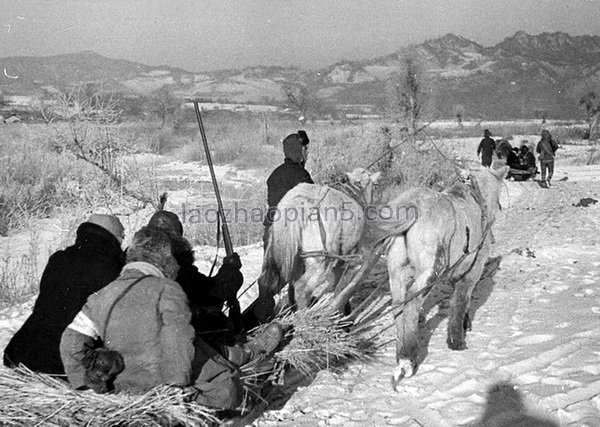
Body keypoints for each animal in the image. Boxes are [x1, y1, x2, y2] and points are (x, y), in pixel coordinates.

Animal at [258, 168, 380, 314]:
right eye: (375, 185)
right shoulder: (347, 253)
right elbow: (340, 281)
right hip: (320, 261)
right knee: (302, 288)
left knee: (279, 285)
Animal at [372, 166, 508, 386]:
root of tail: (411, 204)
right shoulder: (471, 272)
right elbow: (460, 302)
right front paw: (457, 340)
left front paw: (465, 325)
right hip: (430, 270)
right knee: (412, 303)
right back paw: (408, 360)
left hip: (396, 270)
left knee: (398, 305)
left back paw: (400, 353)